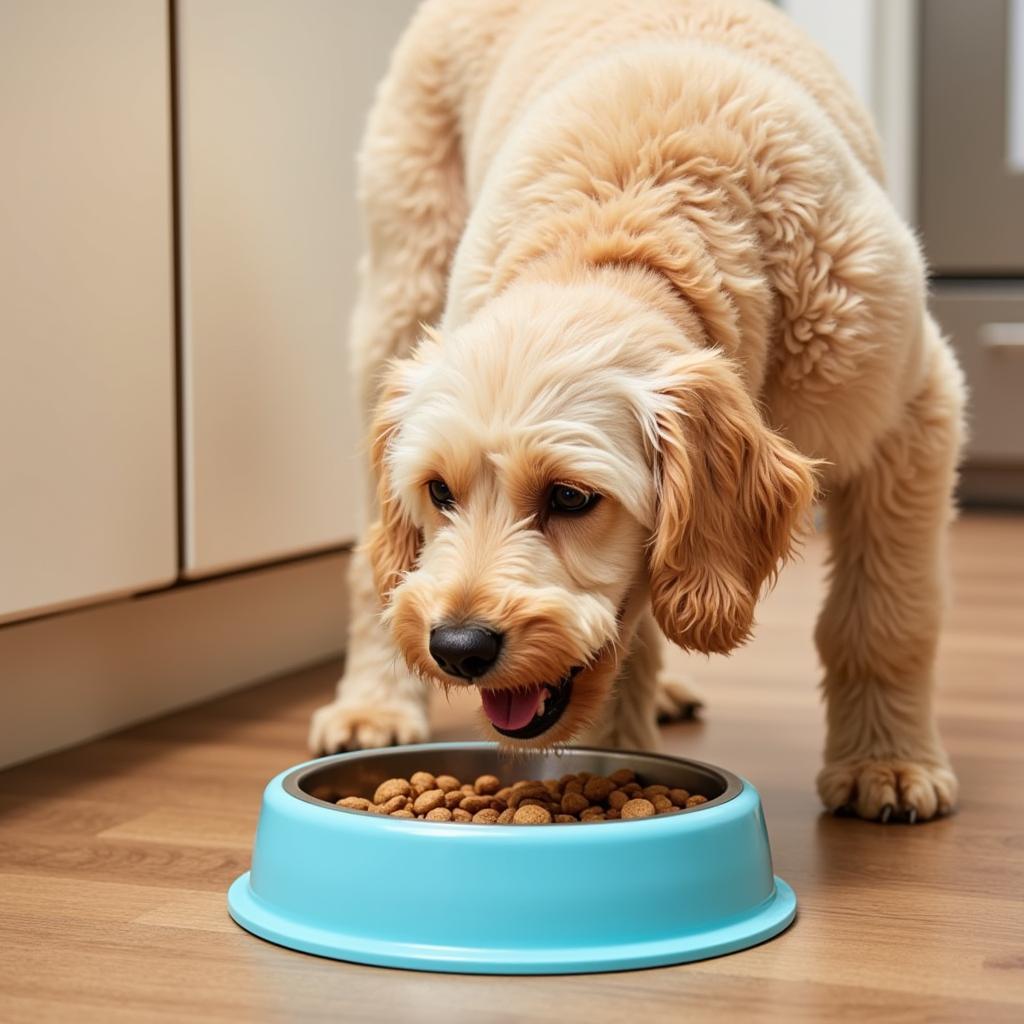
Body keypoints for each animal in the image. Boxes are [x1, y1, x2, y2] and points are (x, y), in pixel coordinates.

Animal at [307, 0, 962, 819]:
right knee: (371, 565)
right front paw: (617, 754)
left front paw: (888, 762)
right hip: (399, 298)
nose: (458, 648)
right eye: (438, 492)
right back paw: (375, 703)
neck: (627, 237)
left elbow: (884, 619)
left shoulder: (911, 414)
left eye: (570, 498)